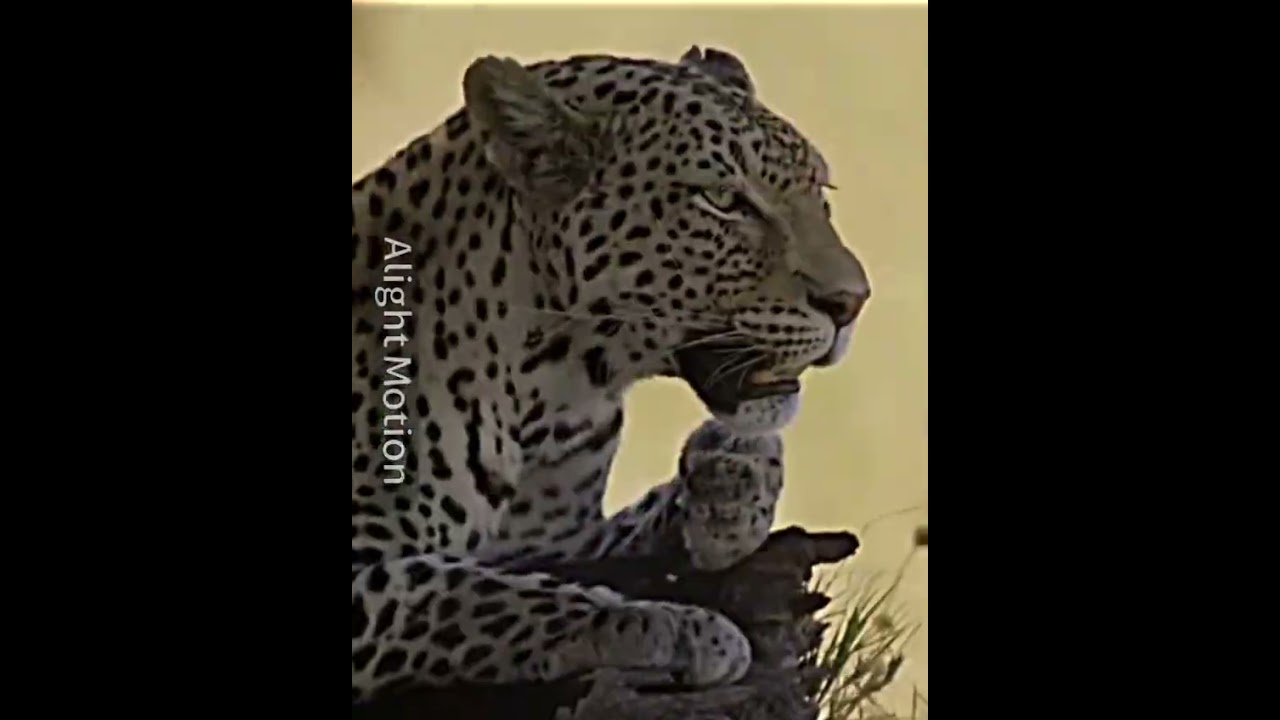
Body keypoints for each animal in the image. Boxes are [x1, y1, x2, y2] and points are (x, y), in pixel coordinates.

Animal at [351, 46, 871, 703]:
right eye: (723, 201)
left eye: (820, 195)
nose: (852, 302)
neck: (554, 392)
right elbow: (461, 592)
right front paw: (670, 627)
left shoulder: (554, 540)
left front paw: (732, 484)